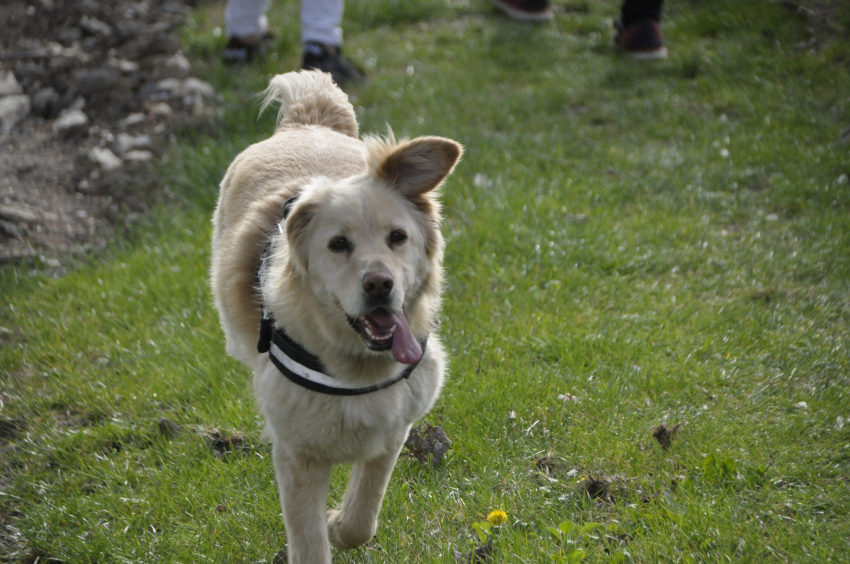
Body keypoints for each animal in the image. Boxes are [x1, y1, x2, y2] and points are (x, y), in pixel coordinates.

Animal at [212, 71, 464, 564]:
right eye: (338, 244)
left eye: (397, 237)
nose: (379, 284)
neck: (355, 367)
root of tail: (307, 123)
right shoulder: (298, 454)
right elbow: (309, 540)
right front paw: (324, 529)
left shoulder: (393, 428)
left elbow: (363, 515)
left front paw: (340, 524)